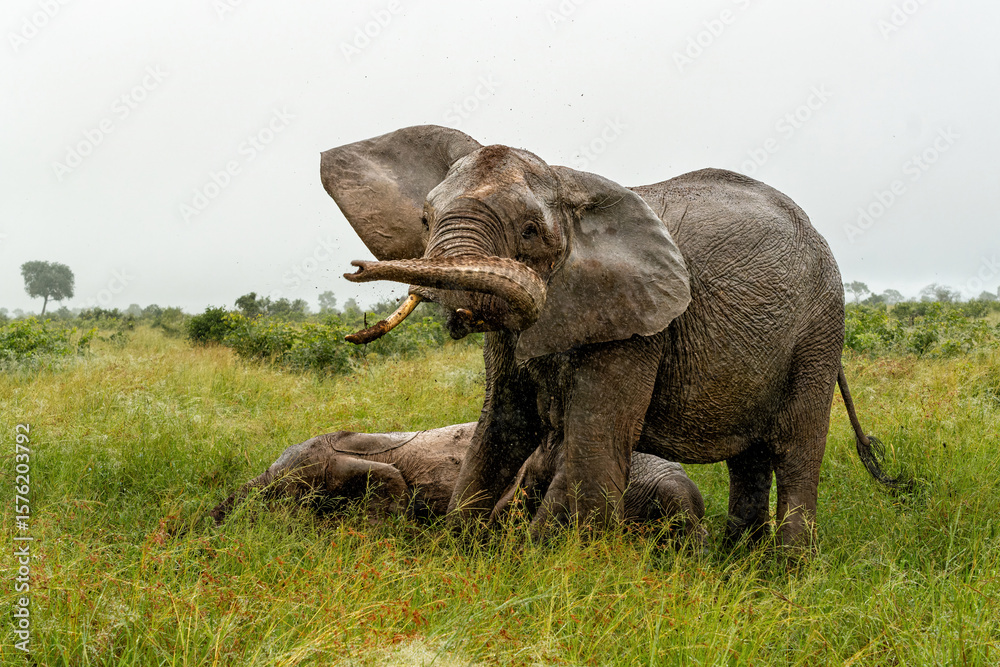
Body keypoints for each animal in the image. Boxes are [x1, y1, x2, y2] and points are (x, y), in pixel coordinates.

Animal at [320, 125, 904, 547]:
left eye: (530, 231)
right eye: (424, 219)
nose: (355, 269)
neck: (570, 188)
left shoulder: (641, 325)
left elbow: (592, 445)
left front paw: (554, 568)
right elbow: (501, 428)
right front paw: (461, 555)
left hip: (819, 332)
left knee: (797, 452)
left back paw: (784, 578)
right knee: (750, 460)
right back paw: (737, 571)